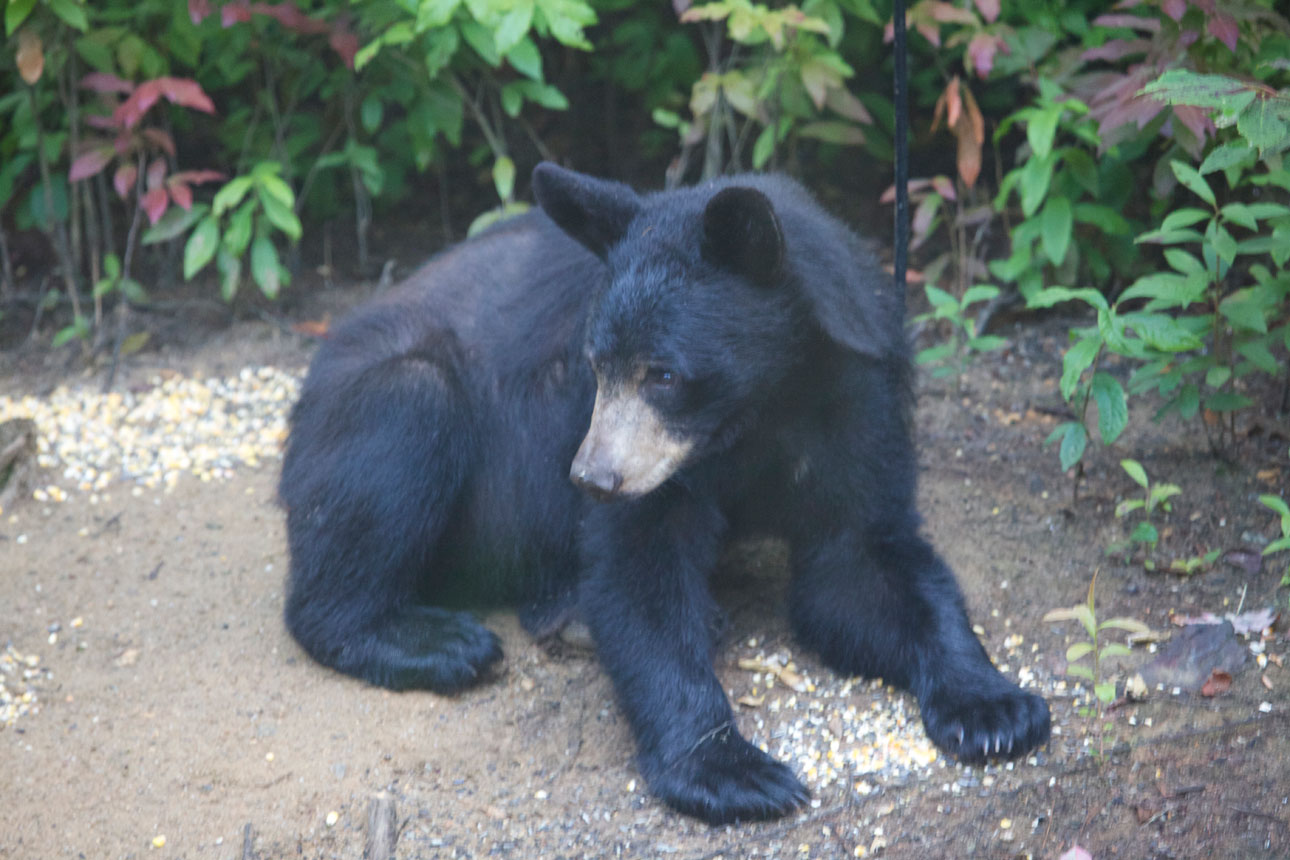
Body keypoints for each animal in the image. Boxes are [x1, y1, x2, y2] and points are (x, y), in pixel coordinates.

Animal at [278, 163, 1051, 825]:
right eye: (596, 363)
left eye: (665, 374)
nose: (592, 478)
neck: (755, 413)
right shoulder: (637, 453)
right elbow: (640, 569)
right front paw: (732, 771)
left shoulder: (855, 399)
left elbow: (862, 560)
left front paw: (994, 711)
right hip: (375, 410)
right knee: (402, 423)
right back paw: (439, 640)